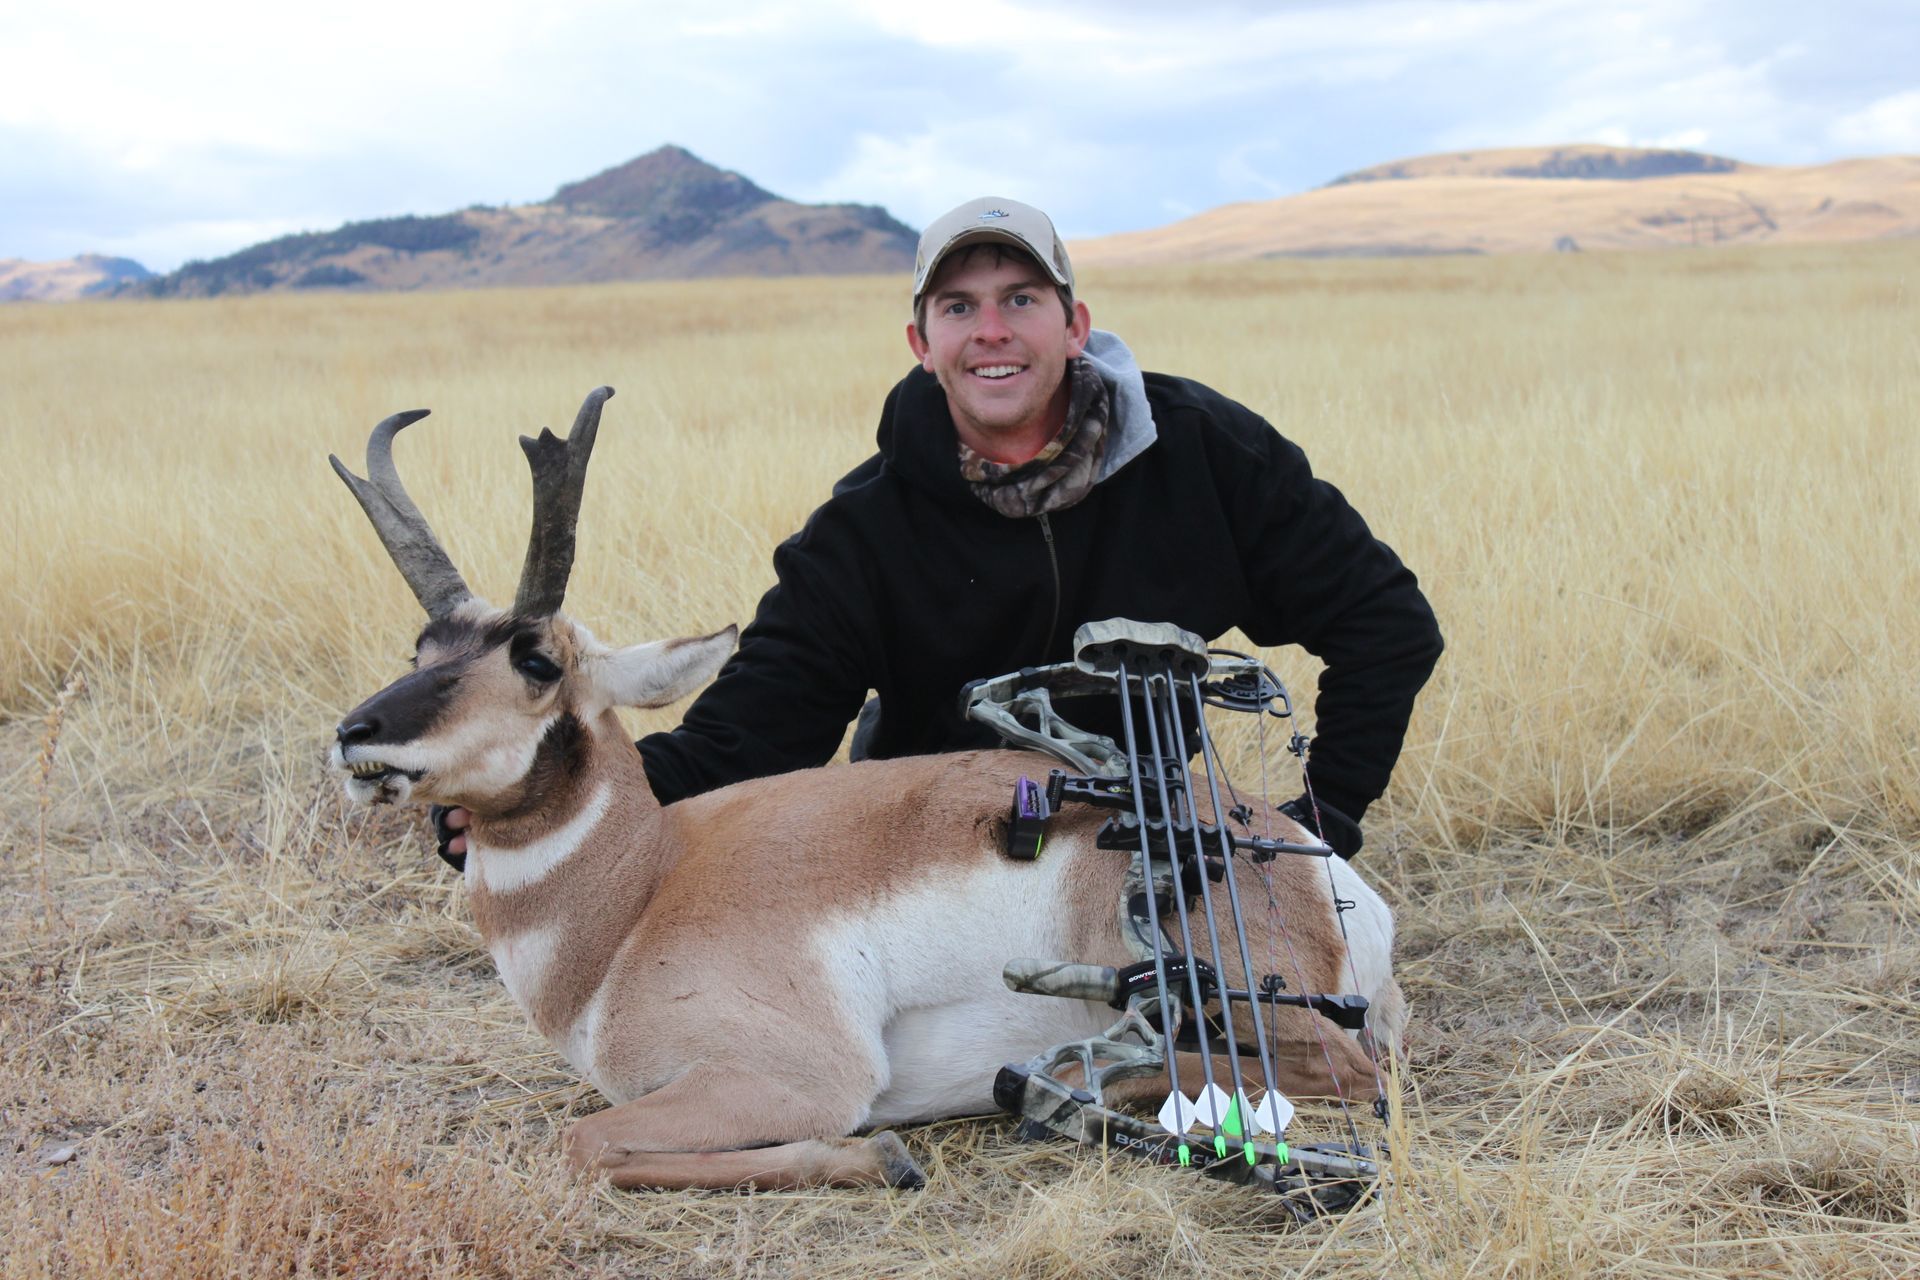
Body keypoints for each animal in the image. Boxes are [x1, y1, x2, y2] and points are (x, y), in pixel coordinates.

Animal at [328, 387, 1405, 1191]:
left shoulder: (788, 1076)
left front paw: (883, 1154)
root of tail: (1313, 862)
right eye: (422, 646)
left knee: (1344, 1072)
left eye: (536, 658)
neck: (638, 894)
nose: (354, 736)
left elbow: (588, 1141)